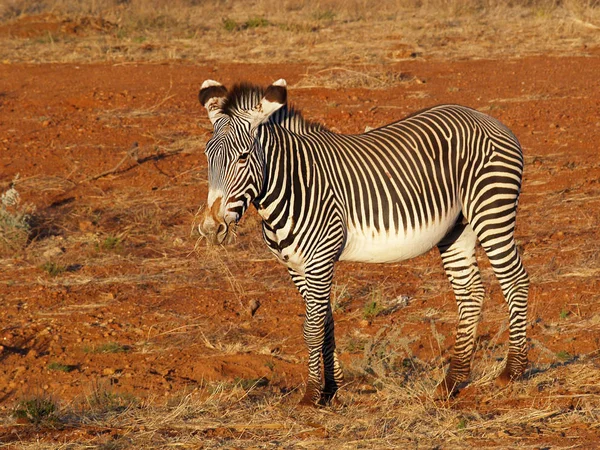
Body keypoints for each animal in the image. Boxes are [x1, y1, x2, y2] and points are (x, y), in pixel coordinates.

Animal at [198, 79, 528, 406]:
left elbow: (311, 328)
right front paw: (331, 388)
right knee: (470, 293)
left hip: (491, 210)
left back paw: (512, 371)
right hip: (458, 229)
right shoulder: (297, 266)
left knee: (515, 280)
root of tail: (485, 117)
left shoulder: (320, 259)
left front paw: (311, 395)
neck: (292, 185)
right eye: (207, 156)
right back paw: (452, 381)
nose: (211, 228)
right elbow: (325, 322)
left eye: (243, 157)